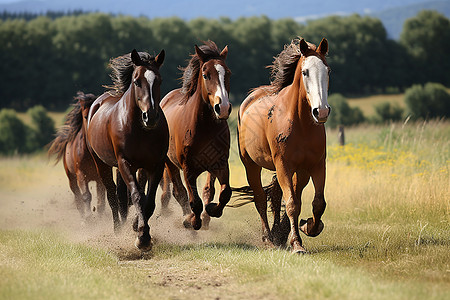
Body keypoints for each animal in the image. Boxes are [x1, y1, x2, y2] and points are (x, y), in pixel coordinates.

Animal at [47, 91, 106, 220]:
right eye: (85, 116)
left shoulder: (100, 177)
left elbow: (101, 199)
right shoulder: (81, 174)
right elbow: (86, 196)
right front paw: (89, 218)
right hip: (72, 179)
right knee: (78, 199)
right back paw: (84, 218)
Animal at [85, 49, 167, 251]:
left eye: (159, 80)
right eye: (137, 81)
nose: (150, 117)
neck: (141, 130)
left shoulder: (156, 165)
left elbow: (148, 200)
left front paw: (138, 228)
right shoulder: (124, 163)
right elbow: (136, 196)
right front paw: (142, 238)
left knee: (123, 196)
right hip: (102, 164)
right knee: (113, 195)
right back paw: (117, 229)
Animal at [160, 41, 232, 230]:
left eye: (228, 73)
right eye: (206, 75)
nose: (223, 108)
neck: (205, 128)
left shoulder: (220, 164)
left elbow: (224, 193)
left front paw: (213, 210)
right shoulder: (189, 169)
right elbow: (194, 201)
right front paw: (192, 221)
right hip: (169, 163)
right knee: (179, 192)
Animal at [236, 38, 330, 253]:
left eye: (327, 70)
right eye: (305, 72)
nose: (321, 111)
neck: (301, 123)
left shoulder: (316, 165)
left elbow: (317, 203)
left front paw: (308, 227)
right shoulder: (283, 165)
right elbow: (292, 204)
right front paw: (297, 244)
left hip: (297, 171)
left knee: (280, 195)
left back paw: (279, 233)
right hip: (251, 165)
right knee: (261, 200)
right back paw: (269, 239)